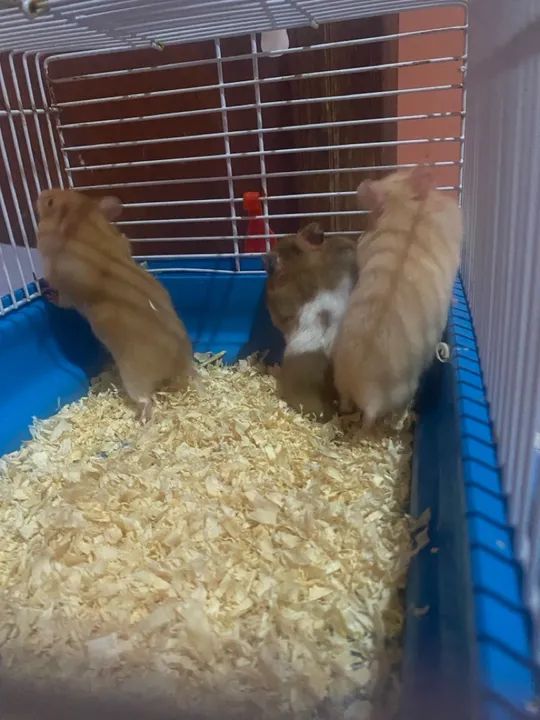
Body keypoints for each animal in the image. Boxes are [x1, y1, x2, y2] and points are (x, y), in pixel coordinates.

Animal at [36, 188, 193, 421]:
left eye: (50, 202)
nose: (41, 192)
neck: (88, 225)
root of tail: (180, 362)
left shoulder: (67, 289)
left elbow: (61, 299)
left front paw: (45, 291)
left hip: (134, 378)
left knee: (146, 400)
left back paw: (141, 420)